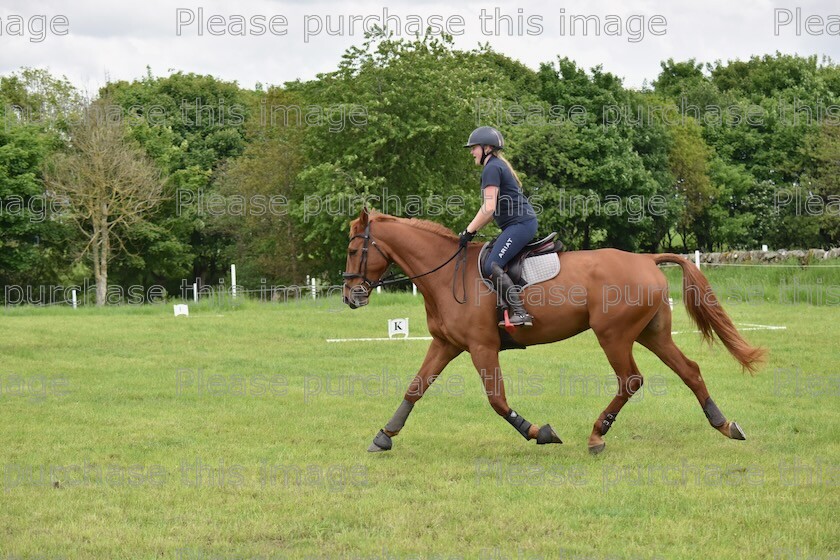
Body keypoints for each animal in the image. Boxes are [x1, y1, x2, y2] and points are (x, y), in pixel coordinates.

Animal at [342, 208, 768, 452]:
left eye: (352, 250)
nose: (350, 296)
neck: (447, 275)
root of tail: (647, 259)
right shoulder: (446, 344)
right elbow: (415, 388)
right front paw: (385, 435)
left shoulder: (482, 347)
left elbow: (498, 401)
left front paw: (540, 432)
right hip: (652, 333)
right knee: (689, 371)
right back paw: (725, 425)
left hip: (613, 335)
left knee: (630, 380)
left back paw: (597, 434)